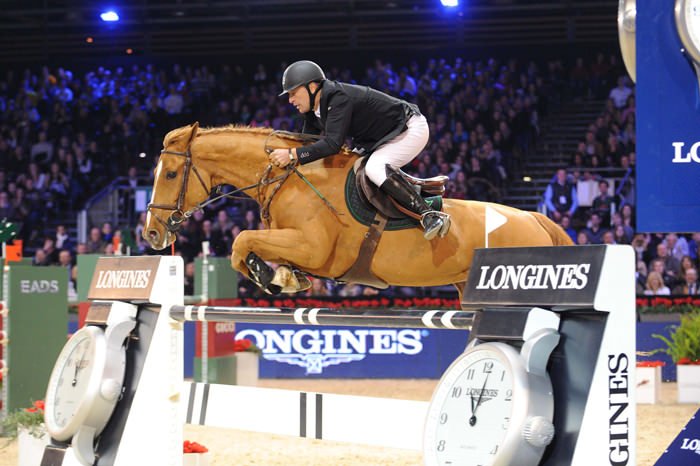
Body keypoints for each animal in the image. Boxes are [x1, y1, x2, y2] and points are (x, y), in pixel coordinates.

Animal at [143, 122, 573, 298]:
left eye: (171, 173)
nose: (151, 232)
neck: (286, 177)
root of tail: (535, 218)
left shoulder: (313, 248)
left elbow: (240, 240)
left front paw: (275, 278)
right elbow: (246, 247)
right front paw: (284, 276)